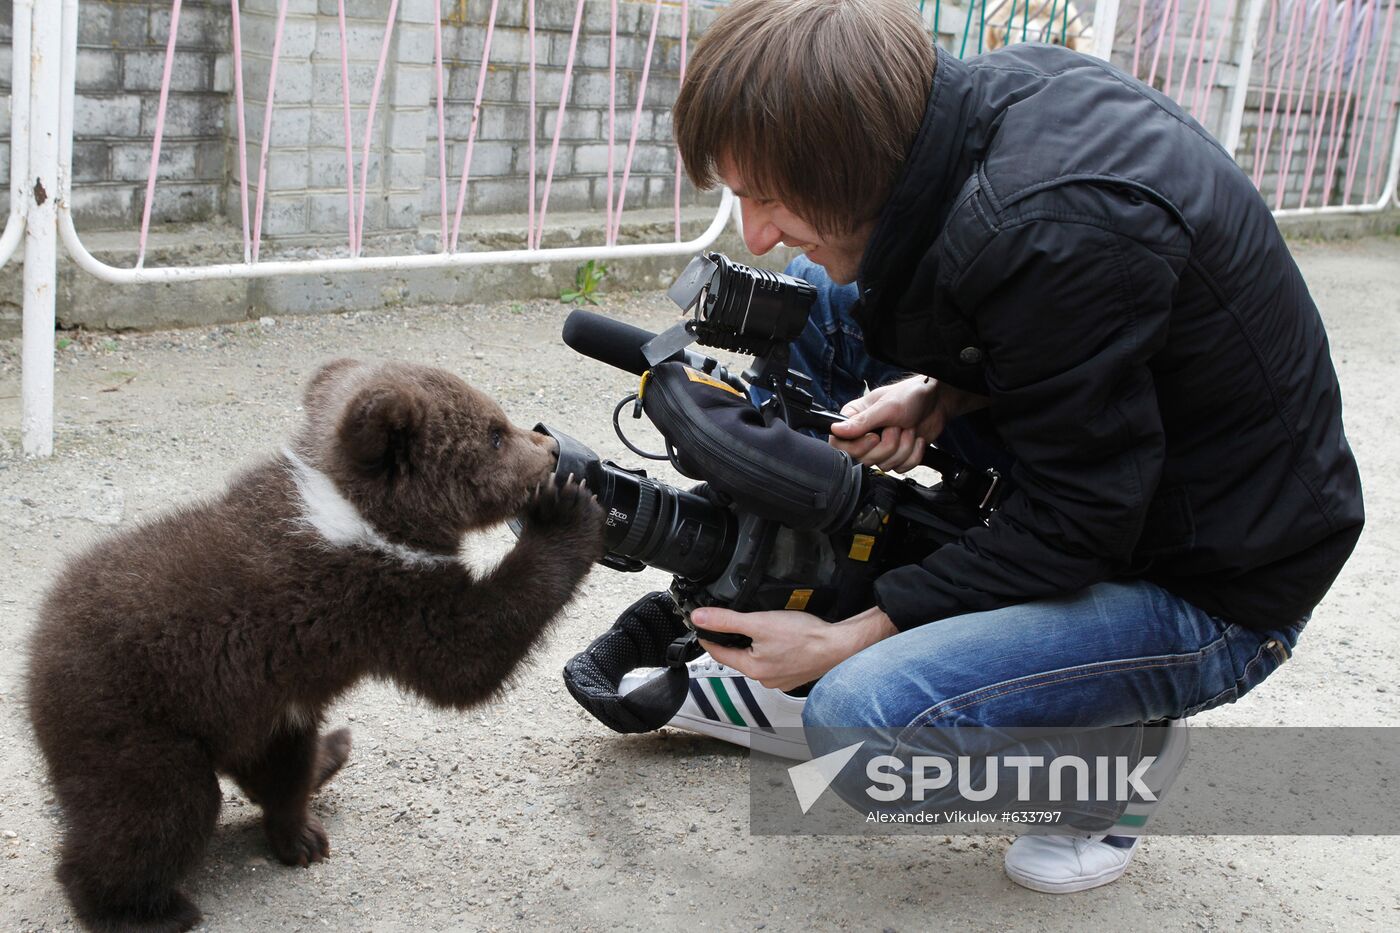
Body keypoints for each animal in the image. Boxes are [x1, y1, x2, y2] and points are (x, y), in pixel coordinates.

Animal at [25, 358, 604, 932]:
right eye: (494, 434)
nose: (551, 449)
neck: (364, 515)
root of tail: (35, 647)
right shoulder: (383, 594)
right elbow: (467, 657)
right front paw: (568, 511)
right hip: (134, 722)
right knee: (159, 811)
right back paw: (146, 910)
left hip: (262, 705)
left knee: (280, 762)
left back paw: (312, 802)